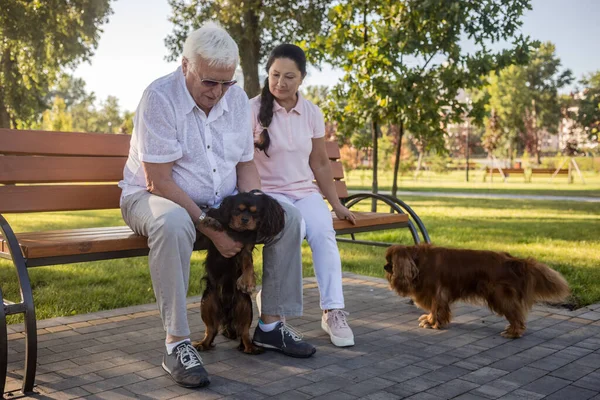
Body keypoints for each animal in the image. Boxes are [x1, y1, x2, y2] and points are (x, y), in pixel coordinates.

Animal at [193, 192, 284, 354]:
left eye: (255, 213)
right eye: (237, 210)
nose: (245, 219)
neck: (236, 231)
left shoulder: (245, 248)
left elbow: (248, 263)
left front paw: (247, 282)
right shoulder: (207, 239)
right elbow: (205, 227)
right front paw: (211, 221)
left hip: (245, 306)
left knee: (244, 332)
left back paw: (251, 348)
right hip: (207, 302)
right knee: (211, 329)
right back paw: (203, 344)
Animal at [386, 244, 568, 338]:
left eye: (390, 262)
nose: (384, 267)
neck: (418, 261)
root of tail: (512, 260)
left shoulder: (437, 293)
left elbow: (437, 309)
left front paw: (433, 323)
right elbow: (434, 309)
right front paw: (430, 320)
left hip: (500, 296)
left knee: (516, 314)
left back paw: (513, 332)